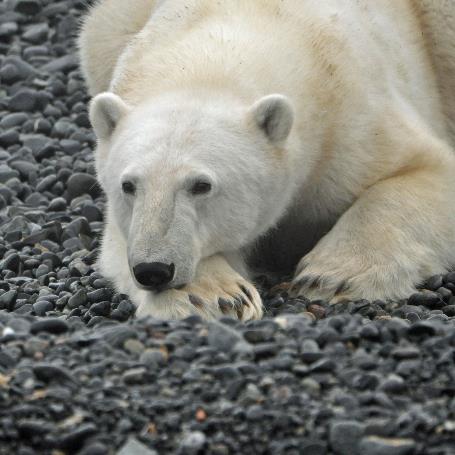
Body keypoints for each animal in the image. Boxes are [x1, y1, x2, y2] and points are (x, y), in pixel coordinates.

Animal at [79, 0, 455, 320]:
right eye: (128, 185)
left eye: (201, 185)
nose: (153, 269)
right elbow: (115, 244)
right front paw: (214, 296)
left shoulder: (353, 123)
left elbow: (425, 172)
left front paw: (332, 275)